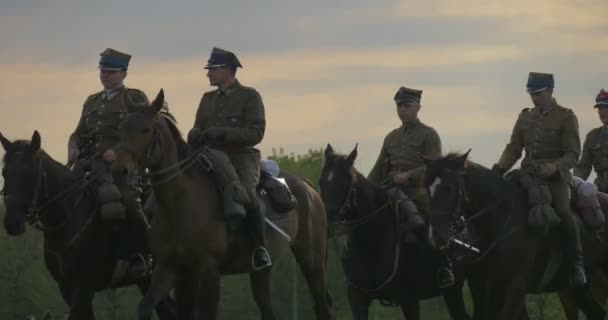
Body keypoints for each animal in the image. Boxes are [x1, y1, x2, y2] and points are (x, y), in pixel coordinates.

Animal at [0, 131, 177, 320]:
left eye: (29, 173)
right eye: (4, 172)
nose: (12, 222)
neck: (69, 217)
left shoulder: (84, 287)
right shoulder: (66, 288)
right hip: (147, 282)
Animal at [111, 89, 334, 320]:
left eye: (146, 129)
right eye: (121, 128)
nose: (119, 170)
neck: (180, 203)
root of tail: (308, 188)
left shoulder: (209, 270)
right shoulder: (169, 268)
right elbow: (147, 307)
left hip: (312, 262)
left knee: (322, 306)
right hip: (261, 273)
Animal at [320, 144, 472, 320]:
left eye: (346, 181)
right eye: (321, 181)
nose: (327, 220)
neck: (372, 240)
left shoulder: (408, 299)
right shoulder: (357, 300)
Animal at [422, 152, 608, 320]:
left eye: (449, 188)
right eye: (427, 189)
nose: (436, 236)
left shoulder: (516, 285)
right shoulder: (491, 284)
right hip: (576, 288)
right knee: (596, 313)